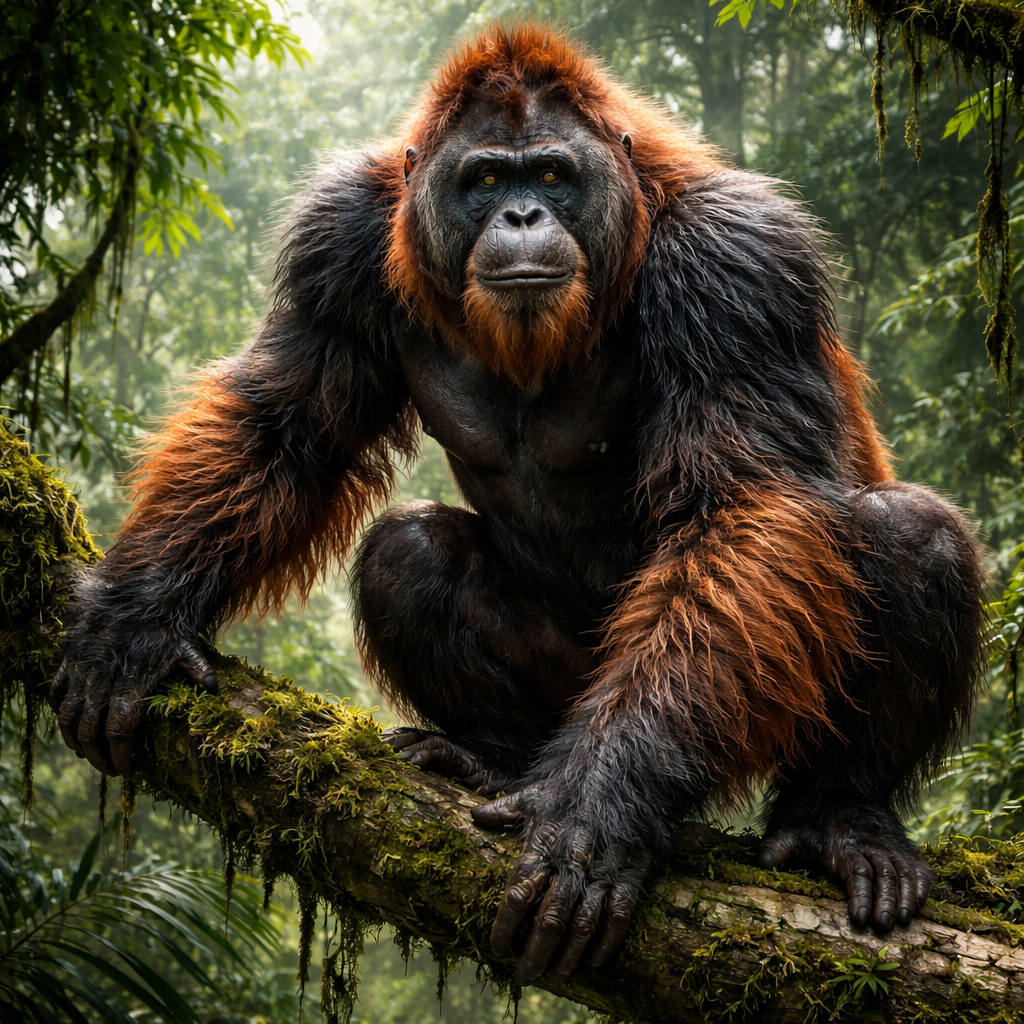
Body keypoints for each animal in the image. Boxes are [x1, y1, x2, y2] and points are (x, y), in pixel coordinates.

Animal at [52, 23, 983, 986]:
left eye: (552, 173)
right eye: (488, 180)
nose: (524, 217)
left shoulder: (740, 264)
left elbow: (740, 503)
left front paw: (597, 812)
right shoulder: (336, 241)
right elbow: (287, 424)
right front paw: (137, 617)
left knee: (909, 533)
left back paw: (839, 817)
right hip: (562, 695)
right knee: (409, 550)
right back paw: (490, 757)